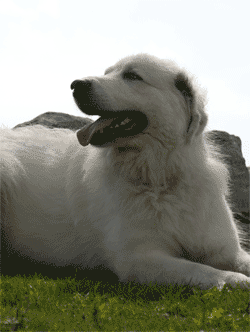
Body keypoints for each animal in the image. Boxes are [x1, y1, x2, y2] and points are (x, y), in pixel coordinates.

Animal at [0, 53, 250, 290]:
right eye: (107, 73)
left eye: (132, 76)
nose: (76, 84)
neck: (161, 178)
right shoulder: (140, 258)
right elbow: (201, 270)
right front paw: (234, 279)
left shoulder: (225, 250)